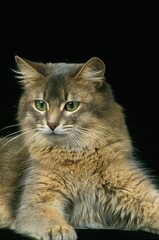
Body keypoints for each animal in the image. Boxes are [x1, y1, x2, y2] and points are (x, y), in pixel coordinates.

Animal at [0, 55, 158, 239]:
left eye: (71, 106)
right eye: (40, 105)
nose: (51, 124)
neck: (78, 156)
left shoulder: (137, 191)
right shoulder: (35, 202)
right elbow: (49, 216)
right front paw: (59, 229)